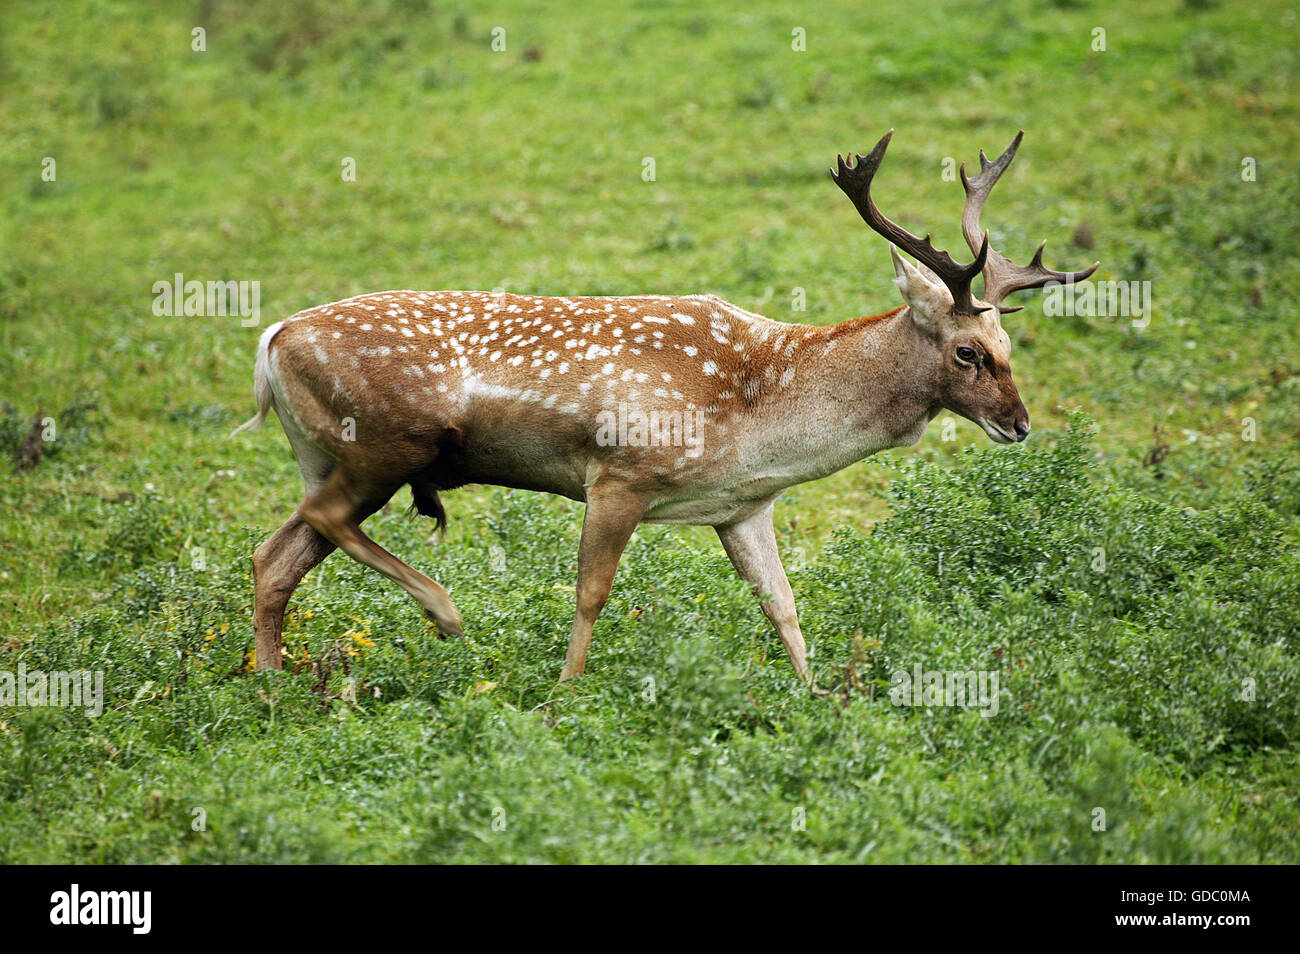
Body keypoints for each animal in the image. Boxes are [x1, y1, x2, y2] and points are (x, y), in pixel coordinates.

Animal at [236, 130, 1097, 686]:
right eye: (968, 352)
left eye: (1010, 346)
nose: (1020, 423)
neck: (762, 418)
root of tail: (273, 340)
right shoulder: (619, 474)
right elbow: (591, 592)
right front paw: (563, 699)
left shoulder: (743, 506)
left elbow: (783, 604)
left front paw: (817, 700)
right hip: (387, 441)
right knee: (320, 523)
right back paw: (445, 615)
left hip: (328, 453)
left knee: (279, 552)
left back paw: (270, 687)